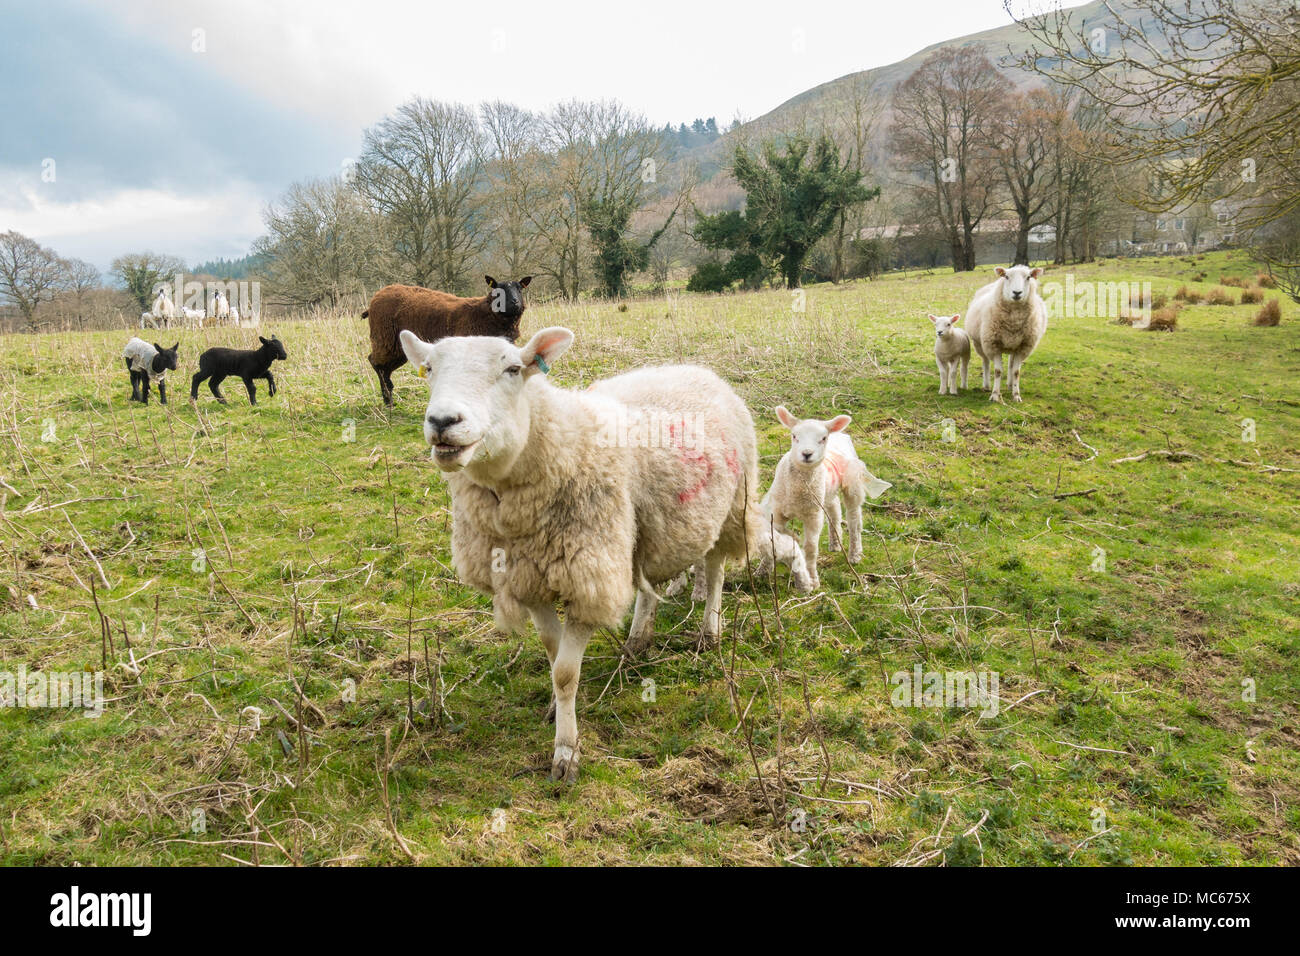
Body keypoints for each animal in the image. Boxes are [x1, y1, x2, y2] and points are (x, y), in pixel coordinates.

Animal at [361, 274, 527, 405]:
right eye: (499, 290)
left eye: (520, 289)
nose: (515, 302)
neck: (486, 315)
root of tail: (377, 296)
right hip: (385, 338)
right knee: (375, 362)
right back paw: (388, 399)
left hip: (398, 347)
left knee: (384, 368)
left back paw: (389, 396)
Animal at [395, 329, 806, 785]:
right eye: (428, 369)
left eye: (513, 369)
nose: (442, 422)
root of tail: (697, 370)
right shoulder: (530, 578)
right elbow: (552, 651)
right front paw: (557, 710)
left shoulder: (588, 579)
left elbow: (565, 673)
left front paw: (565, 752)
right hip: (649, 528)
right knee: (647, 586)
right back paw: (637, 641)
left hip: (730, 504)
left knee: (714, 570)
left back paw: (708, 632)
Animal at [759, 405, 894, 590]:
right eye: (794, 436)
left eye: (823, 438)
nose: (807, 454)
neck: (797, 491)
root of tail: (839, 433)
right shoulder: (777, 512)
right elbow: (773, 540)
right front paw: (763, 570)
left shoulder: (813, 515)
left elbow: (810, 548)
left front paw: (812, 579)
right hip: (826, 492)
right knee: (835, 509)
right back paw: (835, 543)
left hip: (852, 485)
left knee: (854, 519)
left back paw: (855, 554)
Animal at [967, 264, 1045, 403]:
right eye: (1007, 277)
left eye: (1028, 277)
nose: (1017, 293)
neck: (1014, 320)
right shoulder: (993, 345)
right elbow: (997, 371)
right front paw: (994, 395)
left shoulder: (1022, 347)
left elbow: (1016, 372)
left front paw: (1016, 395)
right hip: (980, 343)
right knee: (985, 362)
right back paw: (986, 385)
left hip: (1013, 345)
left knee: (1010, 365)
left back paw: (1009, 384)